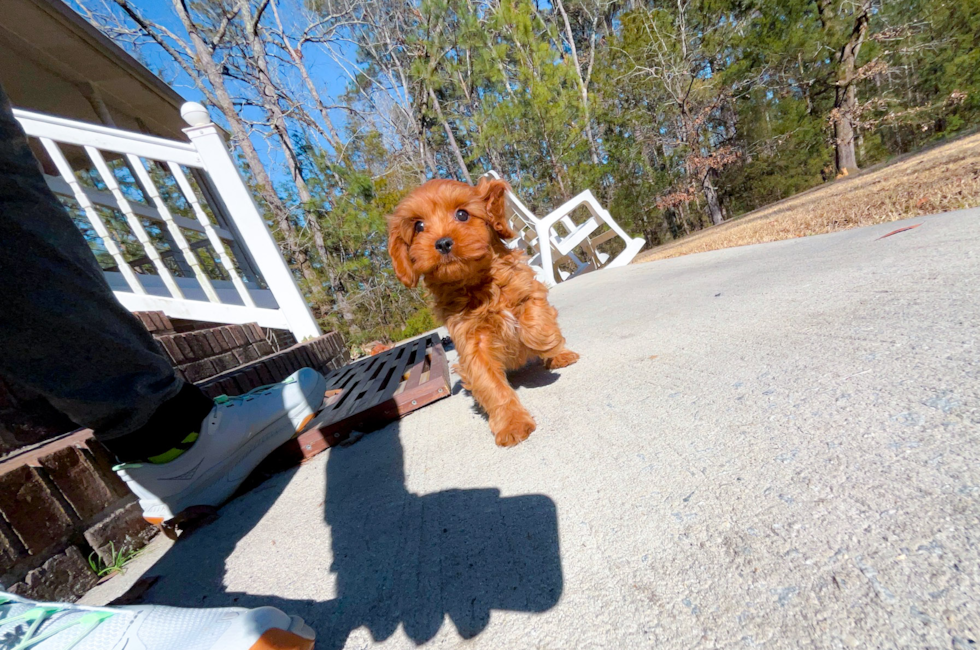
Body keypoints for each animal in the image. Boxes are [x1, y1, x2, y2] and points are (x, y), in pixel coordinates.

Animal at [386, 175, 580, 442]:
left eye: (462, 214)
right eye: (419, 227)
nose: (442, 243)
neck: (477, 285)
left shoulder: (529, 288)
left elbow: (535, 324)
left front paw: (546, 344)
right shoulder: (471, 343)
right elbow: (490, 383)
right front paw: (512, 423)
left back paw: (560, 355)